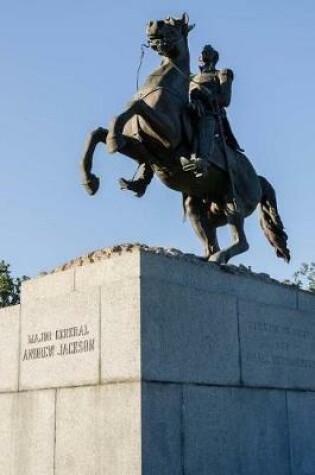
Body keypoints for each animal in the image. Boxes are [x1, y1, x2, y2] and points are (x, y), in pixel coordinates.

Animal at [81, 12, 292, 264]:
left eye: (173, 24)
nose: (152, 24)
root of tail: (258, 179)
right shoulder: (145, 150)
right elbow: (96, 133)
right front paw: (90, 181)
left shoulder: (166, 140)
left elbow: (136, 105)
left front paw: (113, 141)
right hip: (201, 206)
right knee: (209, 237)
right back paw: (205, 257)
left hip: (233, 202)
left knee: (241, 241)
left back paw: (219, 257)